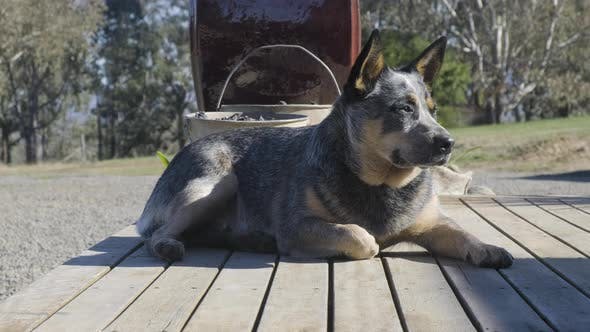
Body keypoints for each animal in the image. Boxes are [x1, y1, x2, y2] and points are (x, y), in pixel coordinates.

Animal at [138, 29, 512, 268]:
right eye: (404, 108)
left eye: (432, 110)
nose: (448, 143)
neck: (381, 184)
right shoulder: (297, 226)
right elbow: (360, 236)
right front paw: (364, 241)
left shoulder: (433, 223)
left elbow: (461, 233)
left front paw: (486, 247)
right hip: (220, 182)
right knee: (158, 233)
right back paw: (170, 244)